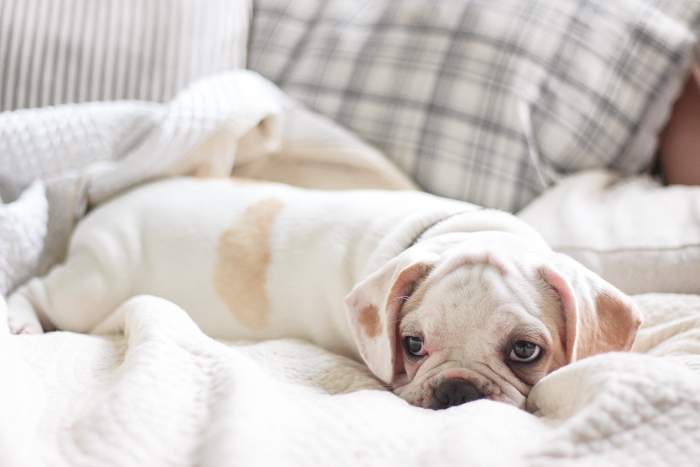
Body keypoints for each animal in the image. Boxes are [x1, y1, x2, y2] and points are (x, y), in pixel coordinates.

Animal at [5, 178, 644, 410]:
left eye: (525, 352)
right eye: (413, 345)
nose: (456, 389)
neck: (464, 233)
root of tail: (100, 211)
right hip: (91, 287)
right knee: (36, 289)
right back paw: (20, 321)